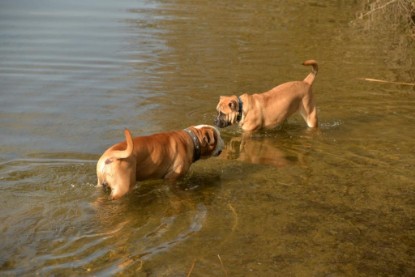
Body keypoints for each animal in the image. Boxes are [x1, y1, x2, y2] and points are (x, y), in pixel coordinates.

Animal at [96, 124, 224, 198]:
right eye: (218, 136)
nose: (223, 141)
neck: (193, 140)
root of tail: (110, 154)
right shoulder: (171, 178)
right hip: (122, 188)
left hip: (101, 184)